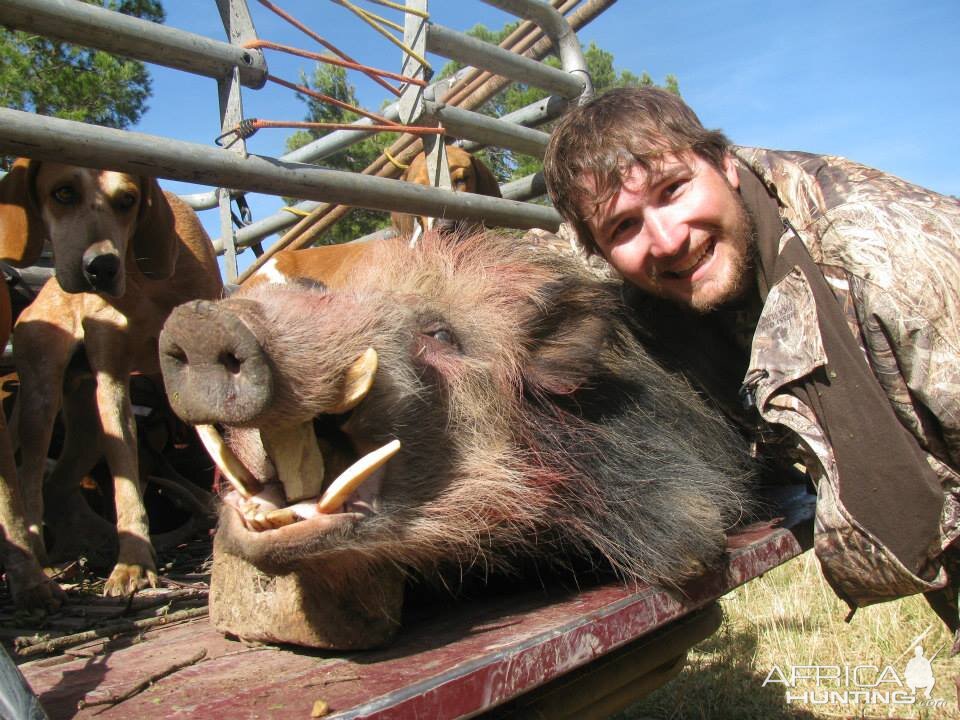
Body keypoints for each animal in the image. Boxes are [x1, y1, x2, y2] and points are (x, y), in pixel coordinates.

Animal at [0, 159, 221, 600]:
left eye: (128, 200)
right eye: (63, 192)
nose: (99, 269)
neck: (141, 281)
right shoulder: (114, 382)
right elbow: (125, 482)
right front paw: (133, 564)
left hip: (85, 429)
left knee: (56, 487)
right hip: (42, 400)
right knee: (30, 478)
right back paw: (40, 568)